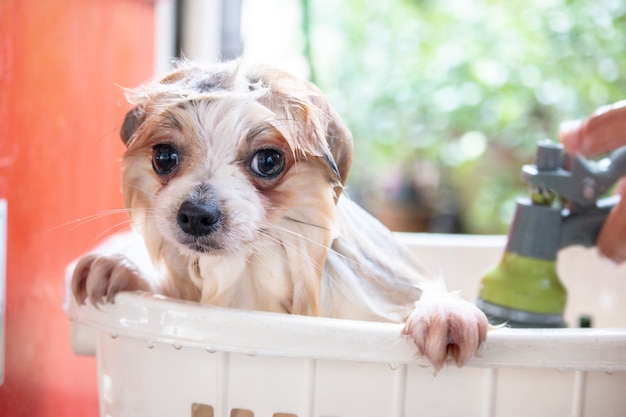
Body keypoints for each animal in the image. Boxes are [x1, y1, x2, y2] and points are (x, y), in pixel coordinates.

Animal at [69, 60, 488, 368]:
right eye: (164, 157)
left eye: (268, 161)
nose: (196, 214)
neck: (252, 266)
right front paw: (120, 267)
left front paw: (445, 313)